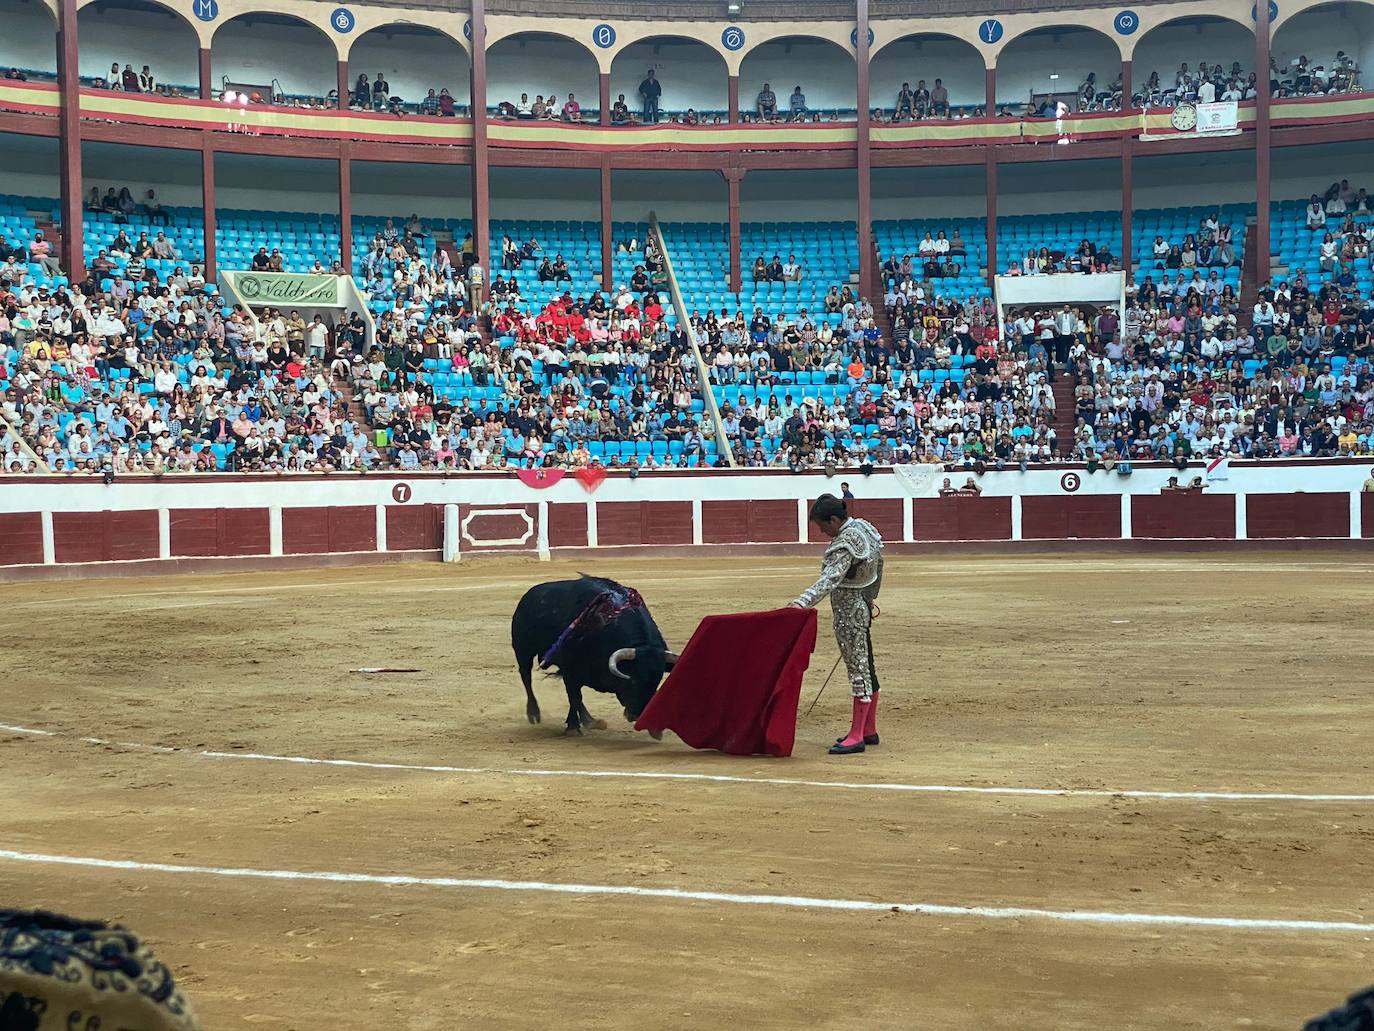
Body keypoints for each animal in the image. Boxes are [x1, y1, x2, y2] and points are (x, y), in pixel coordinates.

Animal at [511, 577, 676, 736]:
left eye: (657, 680)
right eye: (633, 680)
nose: (637, 714)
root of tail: (527, 596)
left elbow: (575, 698)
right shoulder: (570, 669)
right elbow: (575, 697)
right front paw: (578, 726)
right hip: (523, 650)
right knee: (526, 676)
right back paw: (534, 713)